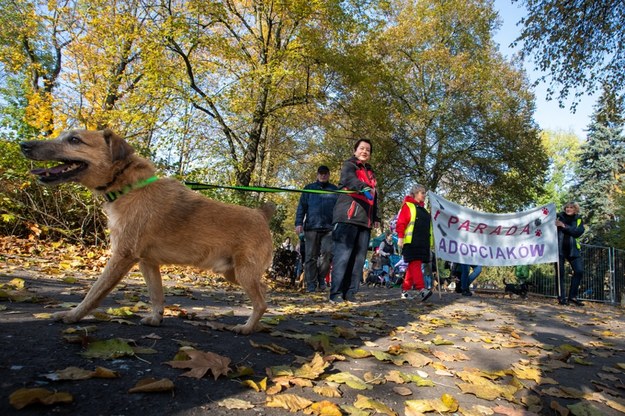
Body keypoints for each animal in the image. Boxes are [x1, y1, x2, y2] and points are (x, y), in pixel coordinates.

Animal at [20, 130, 274, 334]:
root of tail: (261, 215)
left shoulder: (122, 256)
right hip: (233, 273)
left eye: (74, 139)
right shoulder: (147, 262)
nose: (24, 145)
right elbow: (156, 293)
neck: (128, 188)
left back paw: (247, 328)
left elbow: (94, 292)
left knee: (261, 303)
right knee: (263, 294)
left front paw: (72, 315)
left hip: (243, 272)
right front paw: (155, 318)